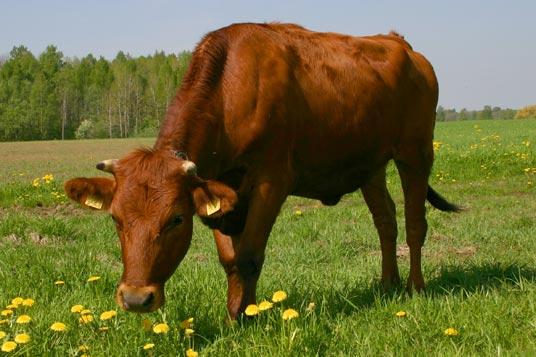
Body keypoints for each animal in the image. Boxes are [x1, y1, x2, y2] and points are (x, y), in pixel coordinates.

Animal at [65, 21, 460, 318]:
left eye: (176, 219)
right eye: (115, 218)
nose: (135, 298)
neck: (231, 91)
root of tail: (400, 42)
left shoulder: (272, 181)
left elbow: (250, 255)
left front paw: (244, 317)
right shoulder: (219, 189)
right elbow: (230, 258)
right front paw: (239, 311)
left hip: (416, 152)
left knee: (414, 223)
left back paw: (415, 287)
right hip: (370, 164)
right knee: (386, 221)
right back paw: (387, 284)